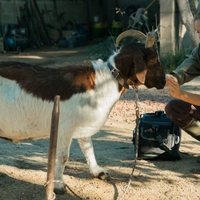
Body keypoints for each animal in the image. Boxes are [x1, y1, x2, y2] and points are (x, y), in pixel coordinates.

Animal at [0, 30, 166, 194]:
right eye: (154, 60)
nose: (164, 81)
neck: (106, 80)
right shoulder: (65, 127)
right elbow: (63, 156)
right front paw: (59, 186)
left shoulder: (84, 123)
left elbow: (88, 147)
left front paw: (98, 172)